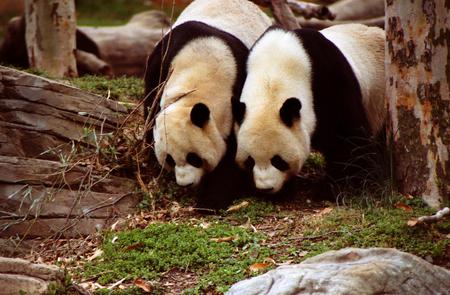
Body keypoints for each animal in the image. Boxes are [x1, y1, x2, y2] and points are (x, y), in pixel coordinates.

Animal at [144, 0, 270, 210]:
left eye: (194, 158)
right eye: (170, 159)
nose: (185, 184)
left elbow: (234, 154)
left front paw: (210, 201)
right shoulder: (162, 62)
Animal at [234, 24, 384, 197]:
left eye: (278, 160)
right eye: (250, 161)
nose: (266, 189)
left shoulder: (330, 80)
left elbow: (348, 137)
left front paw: (336, 187)